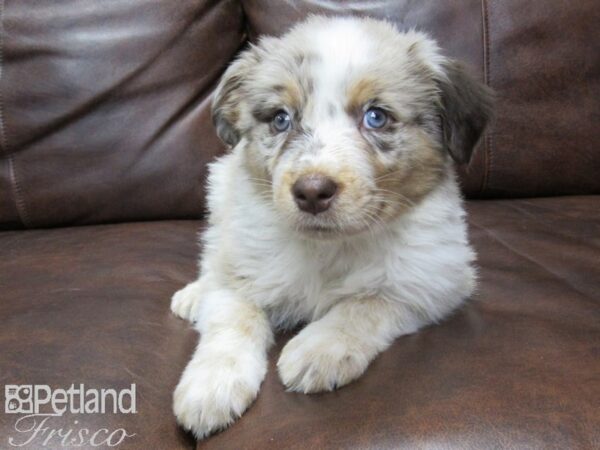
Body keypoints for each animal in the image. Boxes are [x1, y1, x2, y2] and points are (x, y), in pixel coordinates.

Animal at [169, 14, 492, 440]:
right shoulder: (239, 269)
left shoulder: (436, 281)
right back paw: (193, 295)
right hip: (221, 193)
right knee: (212, 255)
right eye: (280, 119)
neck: (329, 247)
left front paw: (319, 349)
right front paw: (211, 388)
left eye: (376, 116)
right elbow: (234, 318)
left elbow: (366, 303)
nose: (311, 192)